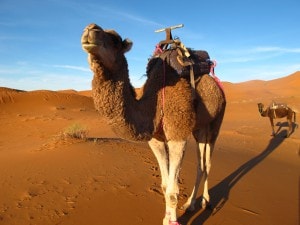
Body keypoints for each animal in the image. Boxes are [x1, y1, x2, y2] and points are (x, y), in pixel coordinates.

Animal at [81, 23, 226, 225]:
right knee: (201, 164)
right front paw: (167, 218)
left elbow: (172, 190)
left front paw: (172, 220)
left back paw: (206, 202)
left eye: (115, 40)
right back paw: (190, 205)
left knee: (208, 162)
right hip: (199, 128)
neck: (153, 107)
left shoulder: (177, 135)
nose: (90, 29)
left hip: (217, 121)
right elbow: (165, 186)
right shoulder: (155, 140)